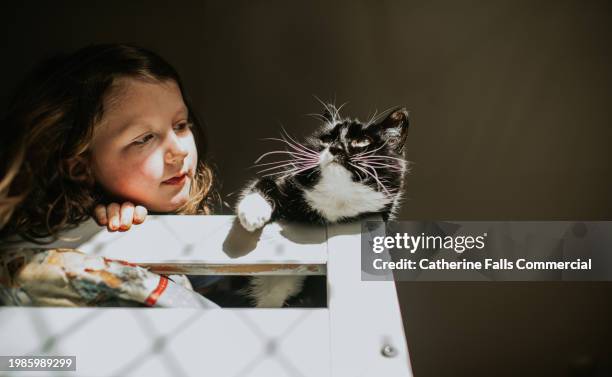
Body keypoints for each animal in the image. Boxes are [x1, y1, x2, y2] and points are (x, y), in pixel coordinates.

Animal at [237, 104, 408, 306]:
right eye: (327, 139)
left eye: (362, 141)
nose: (335, 147)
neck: (336, 199)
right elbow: (266, 182)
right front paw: (252, 214)